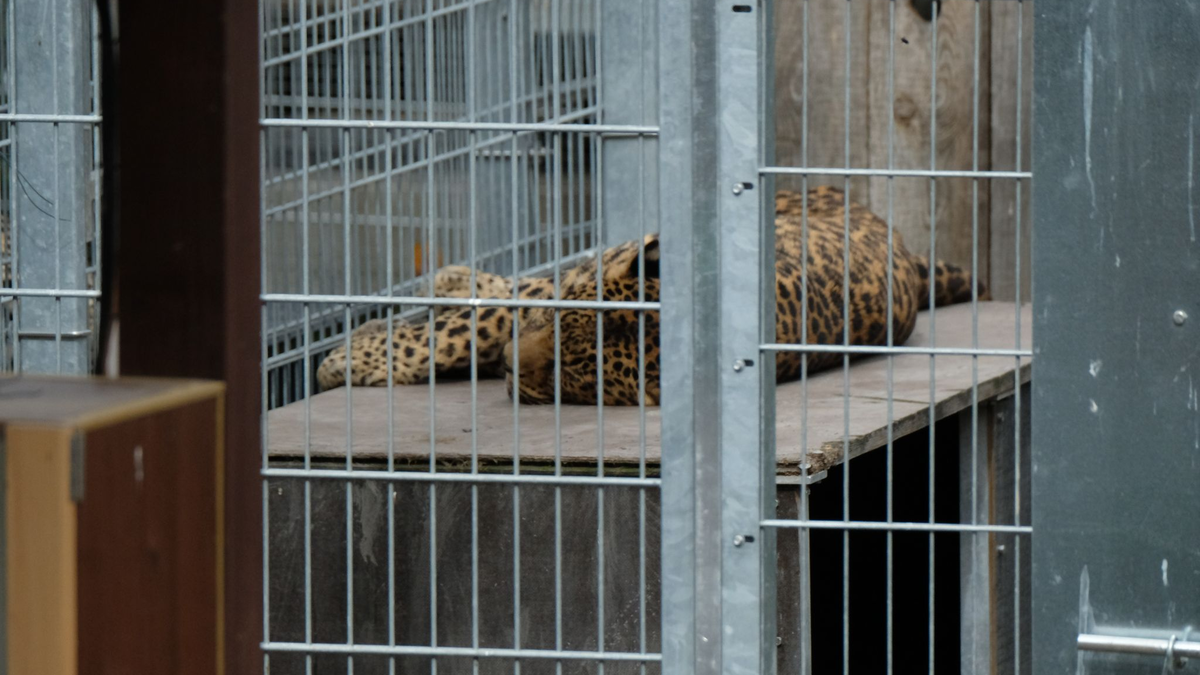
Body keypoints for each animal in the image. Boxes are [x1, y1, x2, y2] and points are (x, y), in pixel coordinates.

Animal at [315, 186, 986, 405]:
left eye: (574, 370)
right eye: (562, 329)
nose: (508, 366)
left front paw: (344, 361)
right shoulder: (554, 294)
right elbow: (467, 326)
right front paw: (347, 359)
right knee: (516, 282)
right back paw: (453, 279)